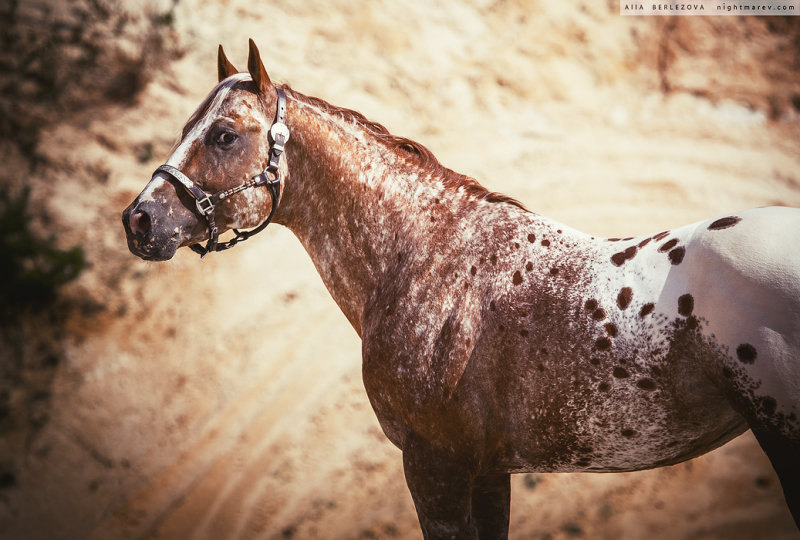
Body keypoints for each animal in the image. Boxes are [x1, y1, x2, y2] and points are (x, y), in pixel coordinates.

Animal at [120, 40, 800, 536]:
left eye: (225, 135)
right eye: (186, 125)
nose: (139, 221)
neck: (427, 258)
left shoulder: (435, 464)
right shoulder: (488, 472)